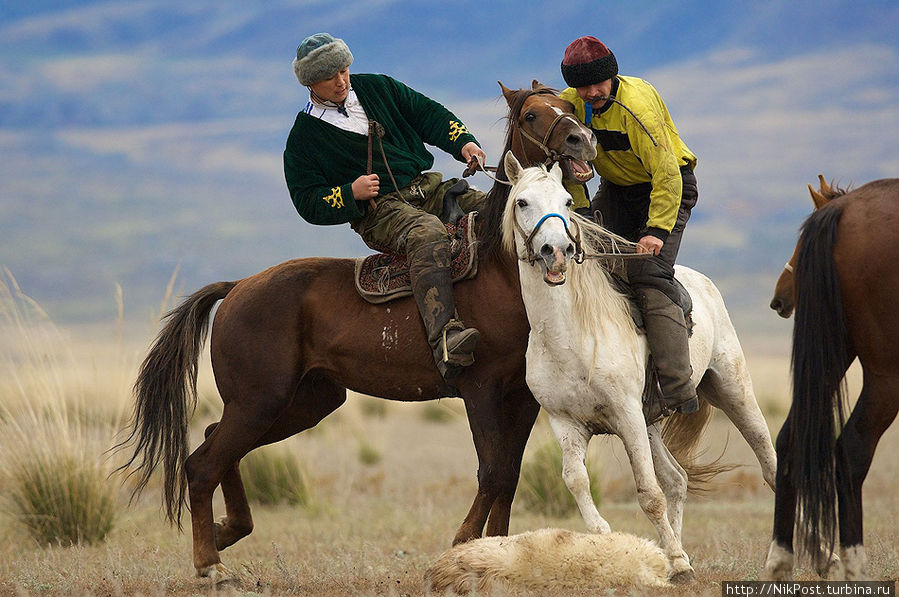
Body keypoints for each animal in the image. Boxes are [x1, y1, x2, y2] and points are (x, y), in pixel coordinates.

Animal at [114, 81, 604, 580]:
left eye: (568, 105)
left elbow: (508, 476)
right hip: (260, 401)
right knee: (201, 464)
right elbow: (491, 472)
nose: (582, 139)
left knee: (217, 442)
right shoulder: (479, 388)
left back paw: (227, 531)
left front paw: (495, 552)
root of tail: (237, 288)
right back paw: (210, 563)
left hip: (304, 401)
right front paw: (464, 541)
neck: (499, 270)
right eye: (530, 115)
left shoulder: (521, 397)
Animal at [502, 152, 776, 584]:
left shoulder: (627, 415)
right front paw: (620, 544)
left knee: (769, 463)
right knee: (678, 480)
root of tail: (701, 281)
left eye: (567, 202)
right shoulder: (566, 423)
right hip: (651, 424)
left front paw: (677, 563)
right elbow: (576, 481)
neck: (570, 336)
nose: (556, 250)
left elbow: (649, 495)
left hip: (733, 391)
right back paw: (677, 559)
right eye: (522, 202)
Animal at [764, 176, 899, 576]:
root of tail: (844, 210)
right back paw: (855, 564)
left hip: (833, 356)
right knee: (852, 449)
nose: (778, 299)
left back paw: (780, 559)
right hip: (885, 374)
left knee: (788, 439)